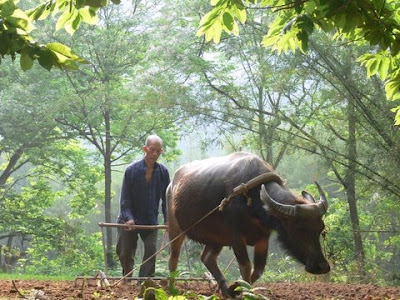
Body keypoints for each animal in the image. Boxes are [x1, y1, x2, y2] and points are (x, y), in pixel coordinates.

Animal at [167, 152, 330, 296]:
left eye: (320, 229)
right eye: (299, 229)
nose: (322, 267)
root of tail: (172, 186)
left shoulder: (263, 239)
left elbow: (258, 270)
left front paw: (237, 286)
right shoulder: (236, 237)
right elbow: (246, 267)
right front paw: (246, 291)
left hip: (216, 238)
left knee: (207, 258)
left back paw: (226, 289)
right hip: (175, 229)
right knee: (173, 260)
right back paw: (171, 288)